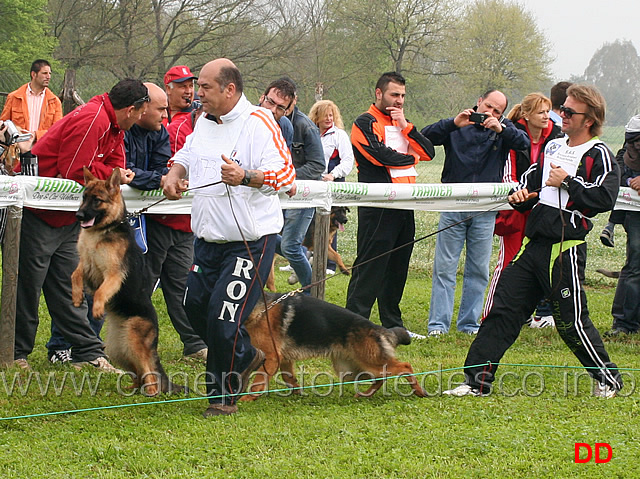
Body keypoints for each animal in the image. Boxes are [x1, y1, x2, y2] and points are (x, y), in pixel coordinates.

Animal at [72, 169, 182, 398]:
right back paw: (131, 390)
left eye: (97, 200)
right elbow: (74, 275)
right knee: (138, 374)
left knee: (150, 375)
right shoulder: (84, 264)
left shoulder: (112, 275)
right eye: (84, 197)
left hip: (133, 343)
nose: (78, 216)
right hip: (117, 350)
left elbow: (101, 292)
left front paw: (96, 309)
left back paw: (149, 394)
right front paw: (76, 297)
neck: (104, 229)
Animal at [240, 292, 424, 402]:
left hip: (369, 363)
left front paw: (247, 399)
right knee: (382, 377)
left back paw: (418, 391)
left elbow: (258, 381)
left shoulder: (272, 357)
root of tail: (378, 329)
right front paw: (297, 392)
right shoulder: (283, 359)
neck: (260, 309)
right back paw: (365, 394)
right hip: (352, 370)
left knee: (404, 366)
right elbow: (289, 378)